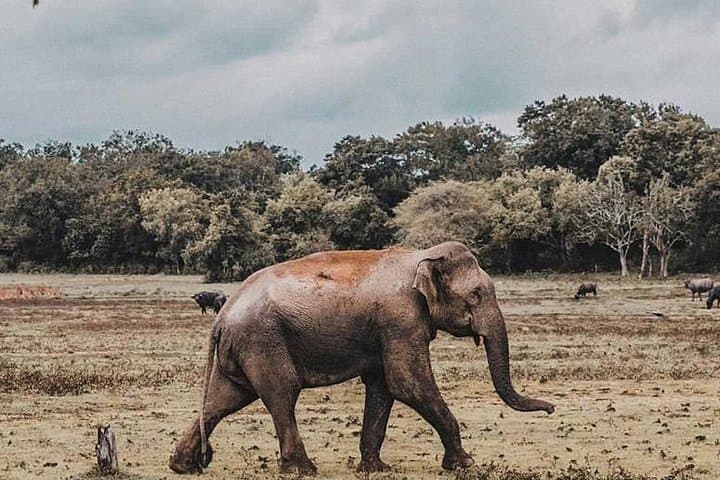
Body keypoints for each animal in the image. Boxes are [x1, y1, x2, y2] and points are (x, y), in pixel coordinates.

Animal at [169, 241, 554, 475]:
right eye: (476, 295)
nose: (551, 409)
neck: (421, 256)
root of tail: (222, 316)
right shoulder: (400, 319)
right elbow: (408, 382)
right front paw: (465, 465)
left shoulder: (389, 328)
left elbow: (384, 386)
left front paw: (375, 469)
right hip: (263, 341)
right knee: (281, 393)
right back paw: (303, 470)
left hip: (245, 347)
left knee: (224, 399)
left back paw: (182, 466)